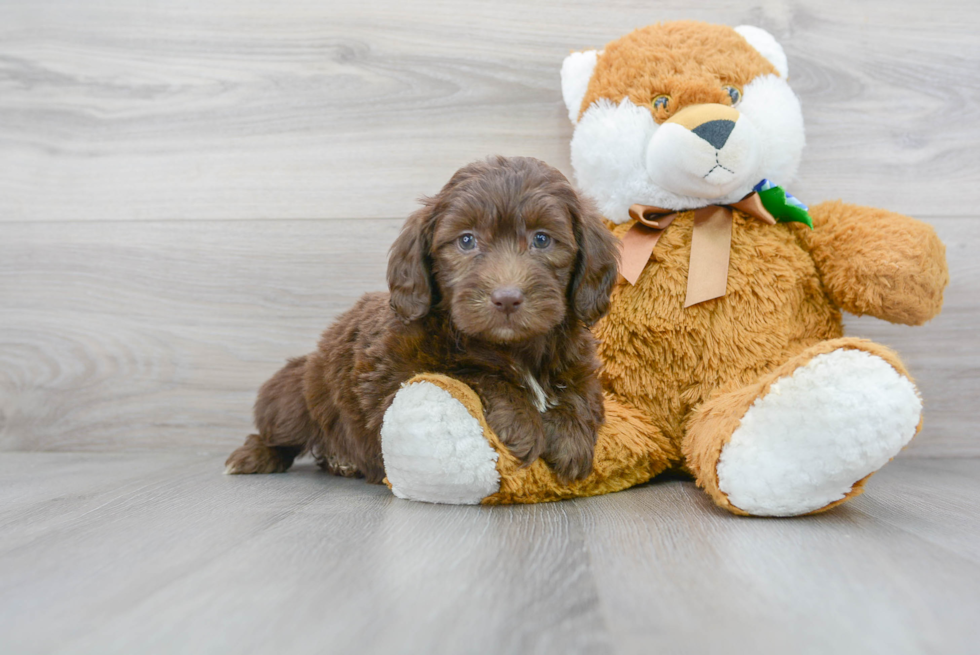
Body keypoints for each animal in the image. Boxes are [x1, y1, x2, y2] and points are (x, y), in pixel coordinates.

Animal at [226, 156, 616, 484]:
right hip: (296, 392)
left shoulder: (579, 360)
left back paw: (340, 461)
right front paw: (522, 420)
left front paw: (570, 434)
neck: (513, 348)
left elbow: (584, 391)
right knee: (282, 430)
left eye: (542, 239)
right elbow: (469, 372)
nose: (506, 298)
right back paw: (256, 456)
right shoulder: (388, 387)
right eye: (466, 241)